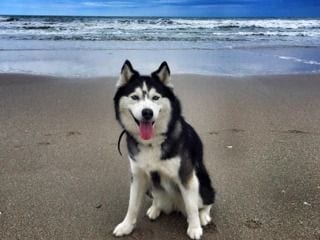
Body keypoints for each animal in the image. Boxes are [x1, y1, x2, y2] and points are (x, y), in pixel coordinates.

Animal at [112, 60, 215, 240]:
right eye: (135, 97)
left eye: (155, 97)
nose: (147, 112)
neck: (152, 142)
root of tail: (175, 205)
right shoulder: (138, 176)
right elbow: (132, 205)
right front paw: (126, 226)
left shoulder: (186, 175)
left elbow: (191, 207)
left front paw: (194, 228)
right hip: (151, 188)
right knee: (157, 198)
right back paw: (155, 207)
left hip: (201, 182)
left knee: (206, 201)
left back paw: (203, 216)